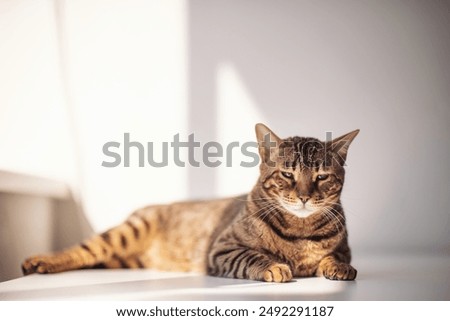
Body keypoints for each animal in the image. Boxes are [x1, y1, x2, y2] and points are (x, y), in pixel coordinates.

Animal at [22, 124, 358, 282]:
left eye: (322, 177)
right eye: (288, 174)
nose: (304, 196)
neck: (300, 231)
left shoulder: (343, 249)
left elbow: (334, 257)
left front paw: (339, 268)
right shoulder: (223, 248)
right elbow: (253, 257)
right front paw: (274, 266)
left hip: (120, 259)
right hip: (126, 232)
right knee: (82, 250)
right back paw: (40, 261)